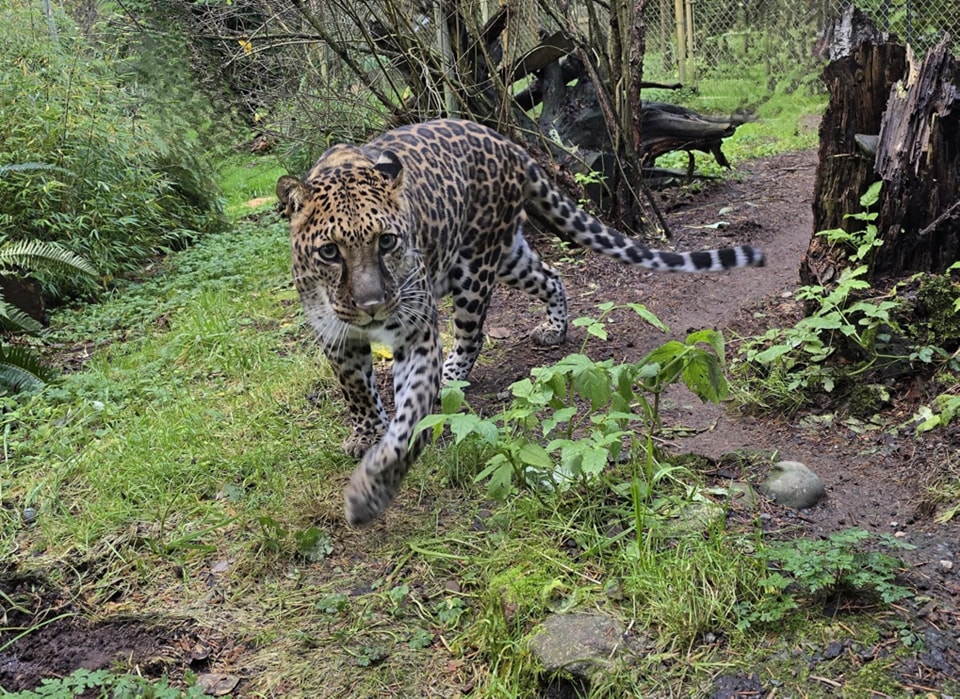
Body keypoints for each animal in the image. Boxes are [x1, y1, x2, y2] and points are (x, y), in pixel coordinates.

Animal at [278, 119, 764, 524]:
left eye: (387, 241)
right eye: (329, 252)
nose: (373, 305)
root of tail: (503, 140)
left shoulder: (416, 331)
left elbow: (409, 414)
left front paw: (372, 488)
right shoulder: (335, 334)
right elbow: (356, 391)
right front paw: (365, 434)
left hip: (474, 266)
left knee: (473, 333)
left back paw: (455, 374)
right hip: (508, 254)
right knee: (550, 275)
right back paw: (554, 329)